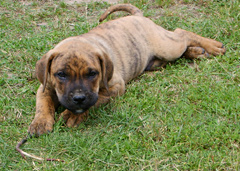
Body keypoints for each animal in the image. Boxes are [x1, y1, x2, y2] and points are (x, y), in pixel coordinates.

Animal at [28, 3, 225, 136]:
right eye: (61, 75)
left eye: (92, 74)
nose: (78, 98)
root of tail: (138, 16)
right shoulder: (45, 86)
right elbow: (43, 104)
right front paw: (40, 122)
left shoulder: (114, 87)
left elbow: (96, 101)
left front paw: (74, 115)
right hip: (157, 60)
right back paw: (197, 52)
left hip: (167, 47)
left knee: (181, 33)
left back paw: (212, 46)